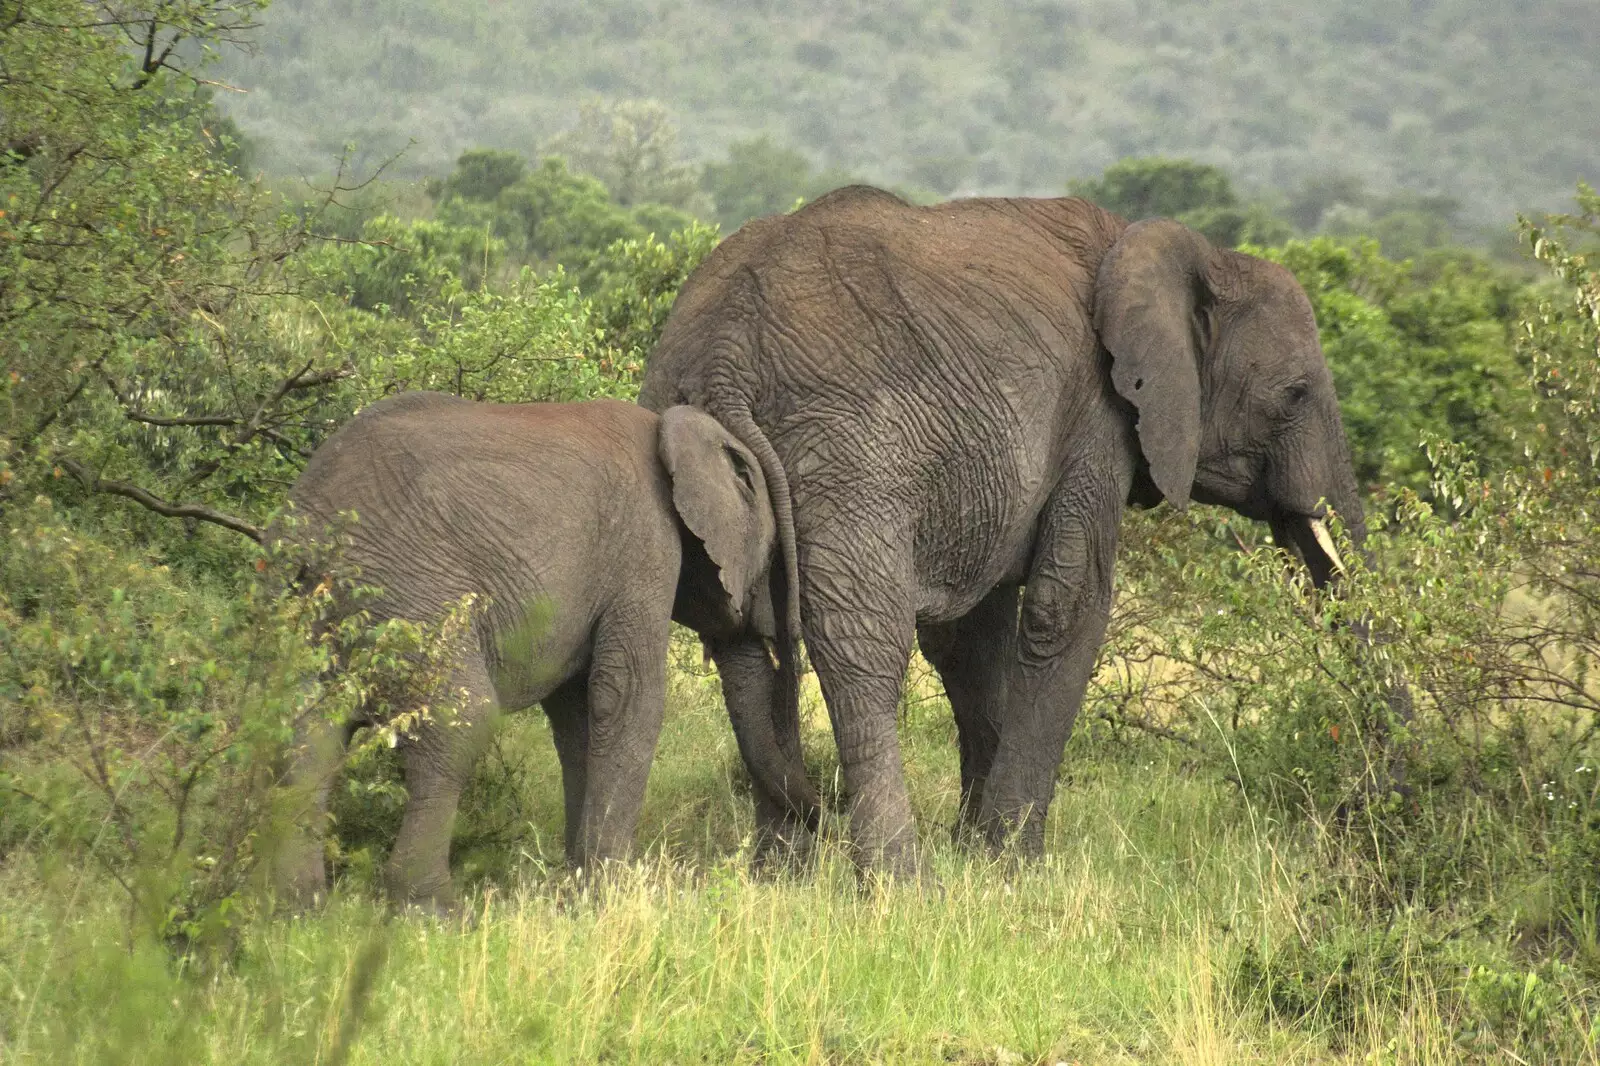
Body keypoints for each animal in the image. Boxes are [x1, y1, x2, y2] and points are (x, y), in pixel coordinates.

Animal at [272, 390, 812, 902]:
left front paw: (575, 886)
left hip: (312, 609)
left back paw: (298, 905)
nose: (824, 810)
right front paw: (609, 893)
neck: (672, 428)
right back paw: (433, 909)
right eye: (771, 558)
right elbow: (626, 695)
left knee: (307, 729)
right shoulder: (646, 544)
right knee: (461, 719)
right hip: (407, 596)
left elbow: (577, 715)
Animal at [643, 186, 1369, 877]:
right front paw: (1013, 867)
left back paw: (776, 875)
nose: (1346, 815)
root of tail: (725, 357)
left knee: (746, 645)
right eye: (1296, 394)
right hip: (851, 459)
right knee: (862, 648)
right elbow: (1066, 606)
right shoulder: (1099, 417)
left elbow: (969, 638)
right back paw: (900, 884)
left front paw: (975, 852)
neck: (1188, 253)